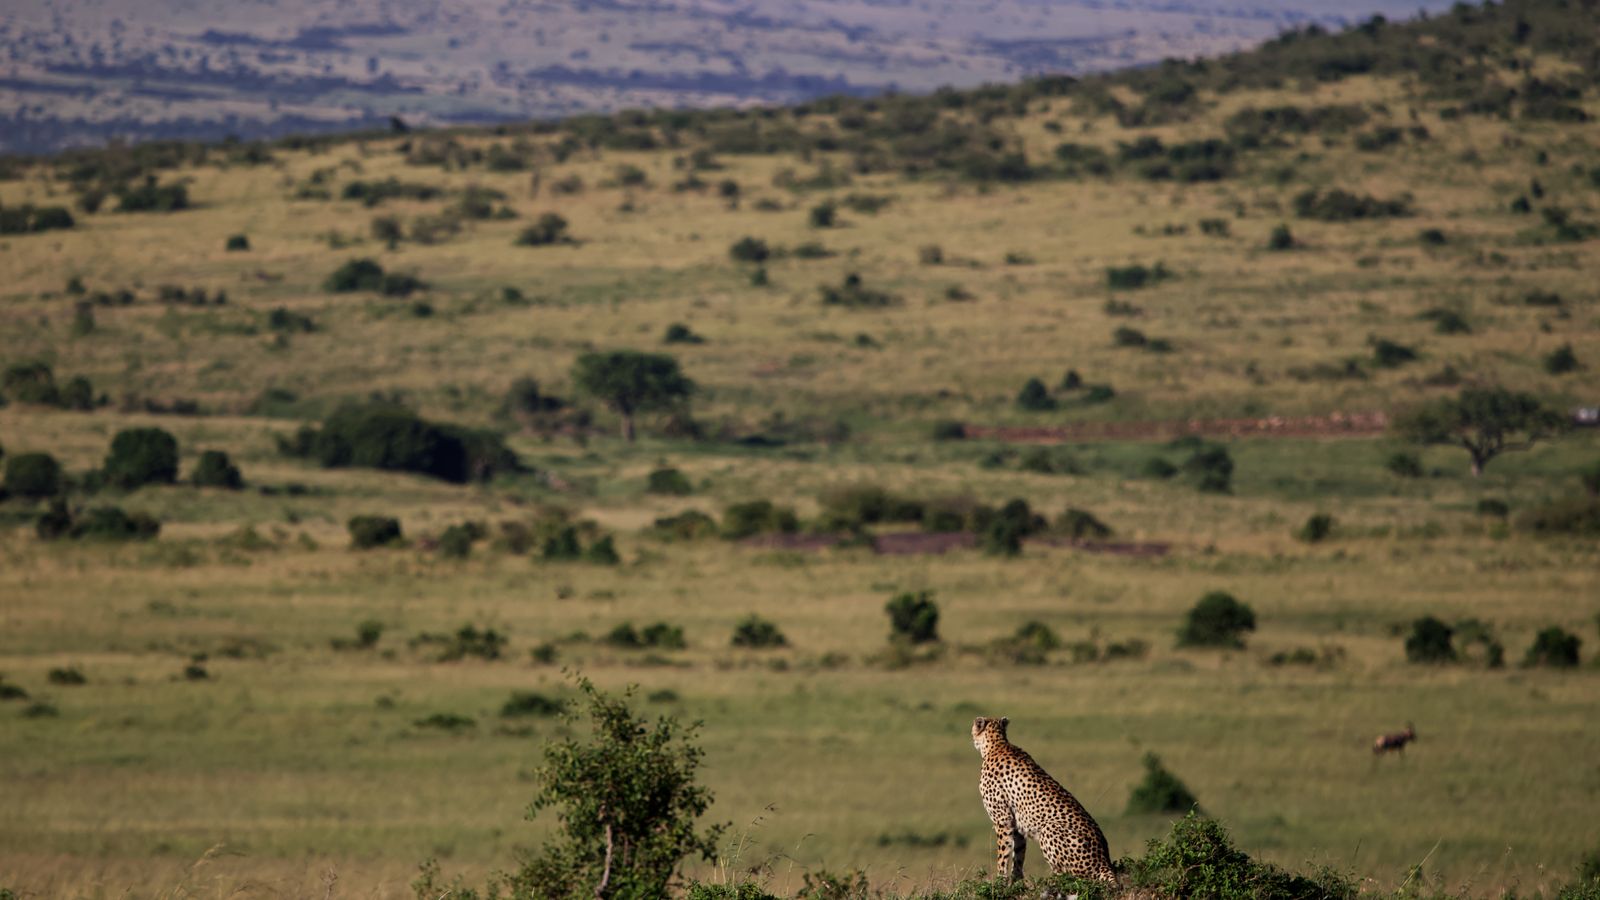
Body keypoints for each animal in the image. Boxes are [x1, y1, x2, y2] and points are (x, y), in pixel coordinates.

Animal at [972, 715, 1117, 884]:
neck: (996, 744)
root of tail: (1104, 860)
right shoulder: (1017, 824)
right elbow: (1018, 855)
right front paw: (1017, 882)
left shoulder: (1003, 820)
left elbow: (1003, 855)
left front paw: (1000, 881)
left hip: (1049, 829)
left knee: (1071, 876)